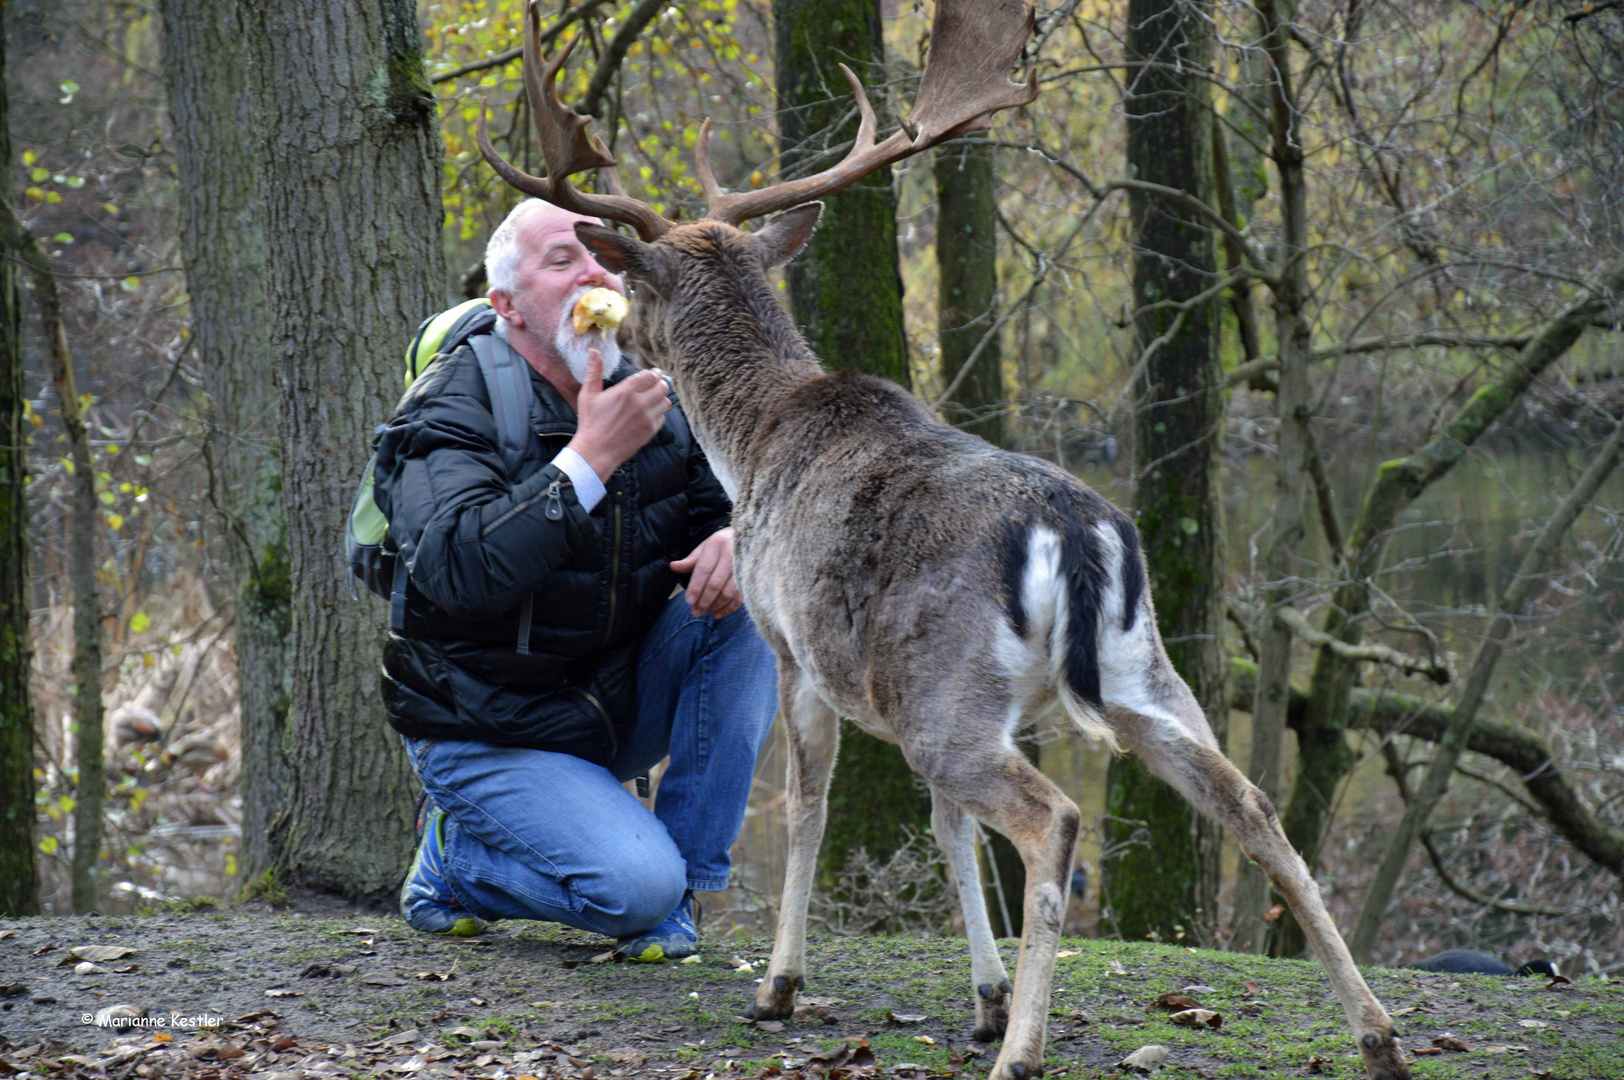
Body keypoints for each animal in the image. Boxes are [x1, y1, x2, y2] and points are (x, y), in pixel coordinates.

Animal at [477, 4, 1409, 1071]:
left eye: (633, 287)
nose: (619, 335)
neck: (751, 440)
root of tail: (1074, 532)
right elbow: (946, 829)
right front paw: (984, 997)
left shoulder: (794, 648)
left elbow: (811, 806)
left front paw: (781, 987)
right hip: (1134, 674)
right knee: (1249, 804)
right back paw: (1377, 1034)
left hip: (943, 690)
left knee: (1053, 819)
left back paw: (1025, 1054)